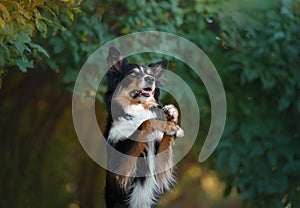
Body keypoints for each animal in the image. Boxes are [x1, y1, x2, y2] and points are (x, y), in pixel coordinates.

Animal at [103, 47, 183, 208]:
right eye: (133, 74)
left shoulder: (159, 166)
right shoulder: (119, 170)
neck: (136, 108)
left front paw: (172, 116)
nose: (151, 79)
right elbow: (146, 122)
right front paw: (170, 126)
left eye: (151, 75)